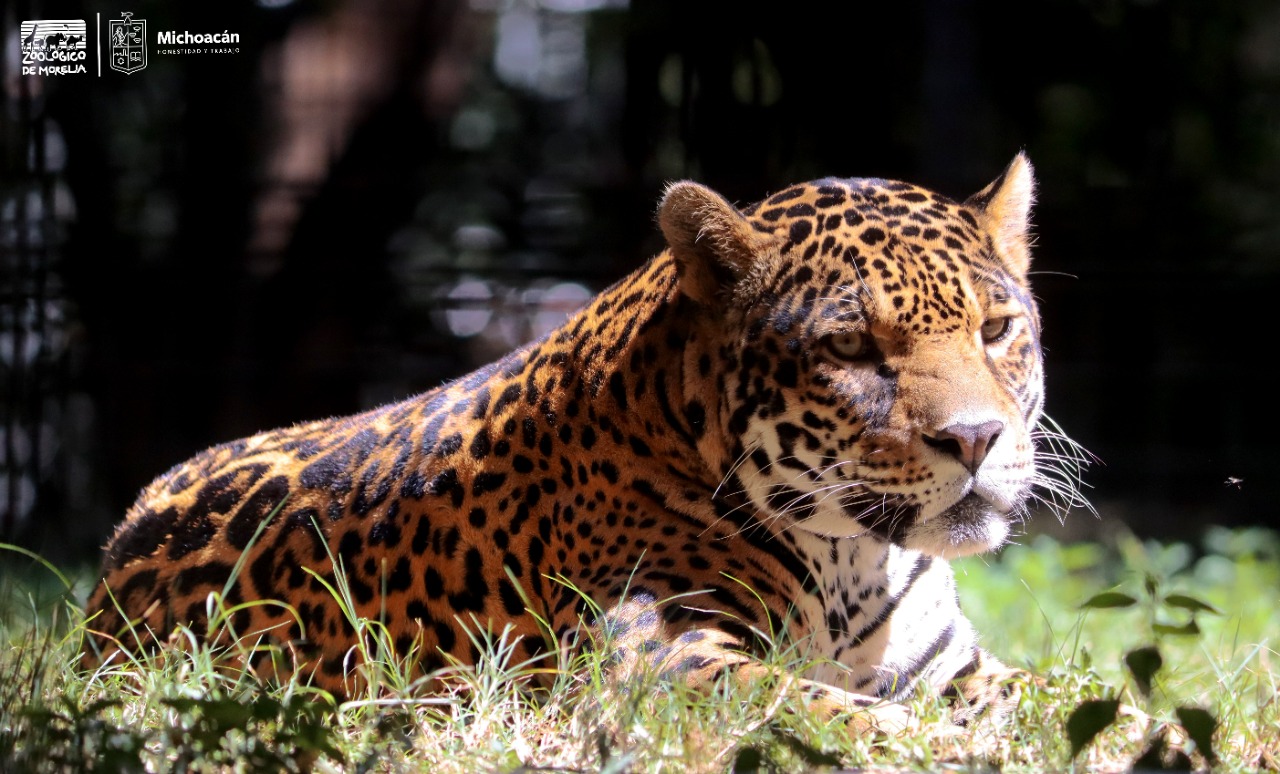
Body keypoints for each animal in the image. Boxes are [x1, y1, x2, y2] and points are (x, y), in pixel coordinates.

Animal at [84, 153, 1073, 732]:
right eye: (851, 350)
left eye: (995, 330)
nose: (976, 439)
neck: (855, 557)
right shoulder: (664, 665)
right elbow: (854, 722)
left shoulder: (954, 668)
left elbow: (1077, 698)